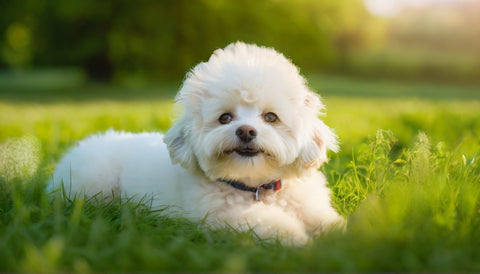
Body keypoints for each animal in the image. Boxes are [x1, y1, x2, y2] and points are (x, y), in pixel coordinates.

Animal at [51, 42, 344, 244]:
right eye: (225, 117)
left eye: (271, 117)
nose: (246, 131)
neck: (256, 187)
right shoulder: (226, 217)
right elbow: (273, 224)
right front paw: (301, 241)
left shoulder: (309, 205)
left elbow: (329, 222)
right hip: (94, 184)